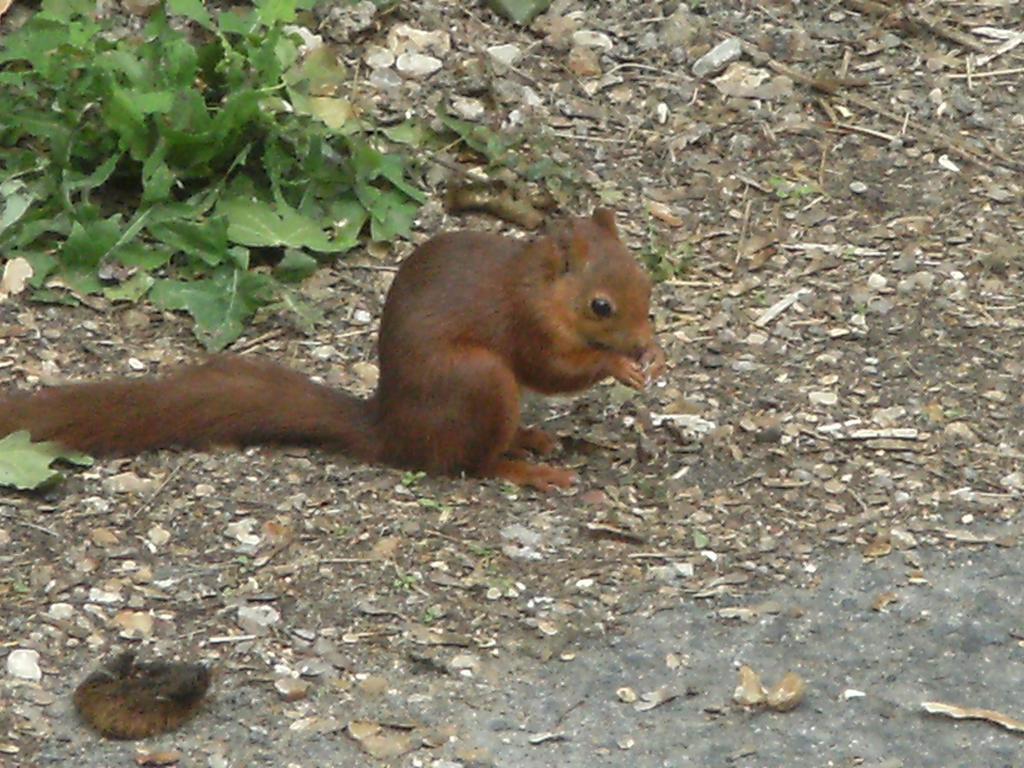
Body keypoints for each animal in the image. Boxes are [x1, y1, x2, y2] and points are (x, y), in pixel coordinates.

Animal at [0, 207, 663, 489]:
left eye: (646, 280)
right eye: (601, 306)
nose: (641, 340)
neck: (536, 283)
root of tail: (391, 432)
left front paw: (650, 354)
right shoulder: (526, 325)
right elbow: (553, 369)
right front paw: (618, 364)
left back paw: (529, 438)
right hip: (480, 381)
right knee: (468, 463)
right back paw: (525, 469)